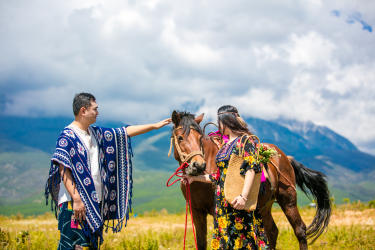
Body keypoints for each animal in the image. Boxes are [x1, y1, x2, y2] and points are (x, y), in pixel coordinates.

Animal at [170, 111, 332, 250]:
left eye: (200, 138)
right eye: (180, 137)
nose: (198, 166)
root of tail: (285, 157)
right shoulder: (196, 211)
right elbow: (201, 242)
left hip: (288, 199)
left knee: (299, 230)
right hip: (264, 206)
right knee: (272, 231)